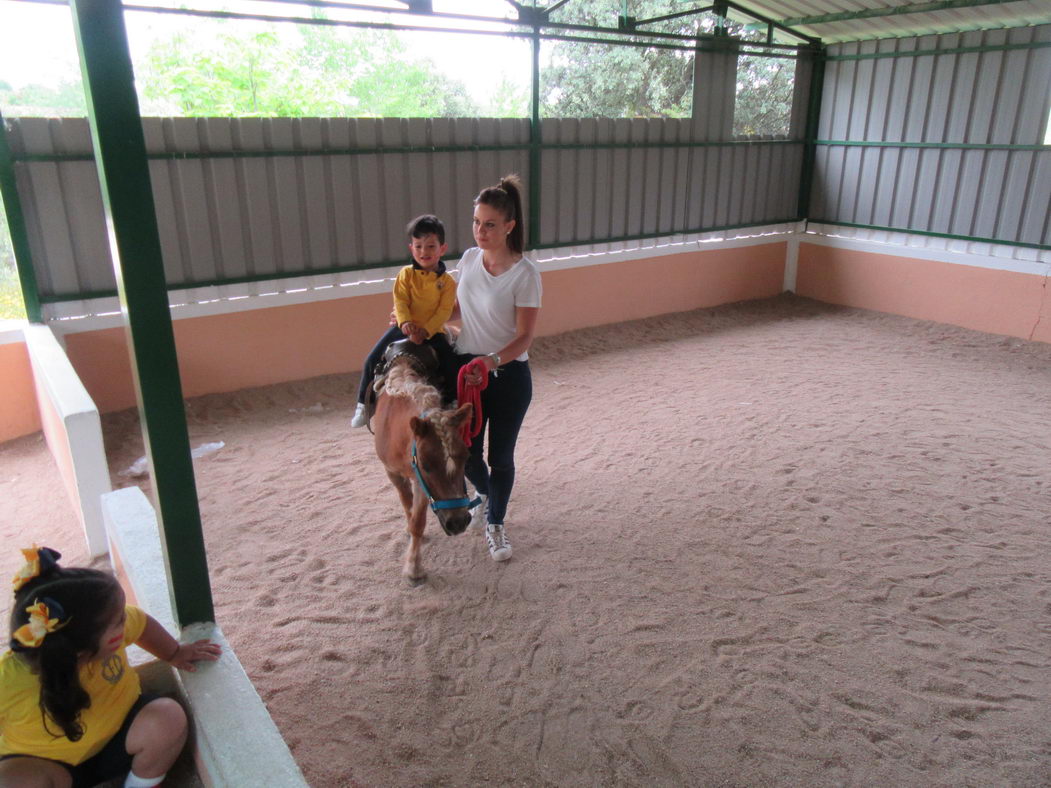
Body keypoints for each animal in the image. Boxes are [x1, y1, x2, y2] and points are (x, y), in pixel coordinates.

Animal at [372, 355, 475, 584]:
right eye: (427, 465)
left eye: (466, 458)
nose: (459, 522)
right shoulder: (396, 474)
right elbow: (407, 505)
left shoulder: (420, 482)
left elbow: (418, 522)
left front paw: (414, 567)